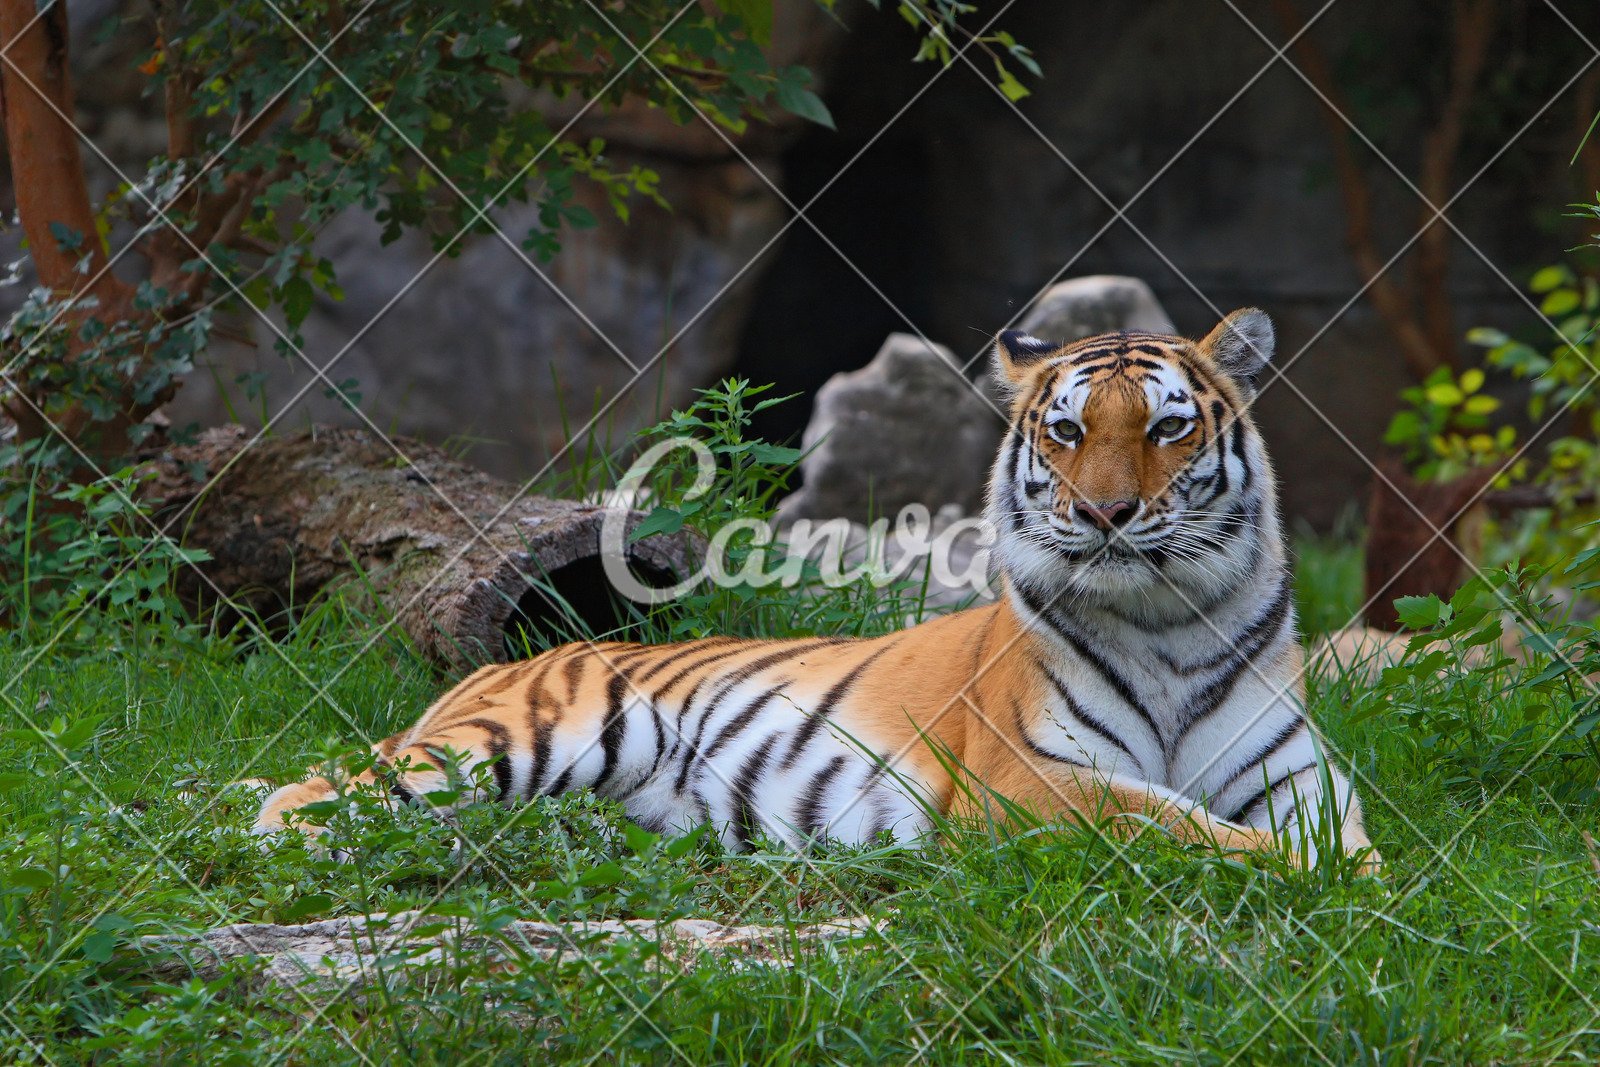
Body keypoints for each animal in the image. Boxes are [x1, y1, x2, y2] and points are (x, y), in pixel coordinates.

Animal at [259, 307, 1376, 870]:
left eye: (1167, 426)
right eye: (1065, 431)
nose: (1103, 513)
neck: (1170, 618)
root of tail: (498, 667)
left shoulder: (1301, 779)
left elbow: (1346, 844)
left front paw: (1363, 885)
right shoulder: (1033, 779)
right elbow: (1190, 826)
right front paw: (1301, 878)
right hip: (520, 735)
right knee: (305, 791)